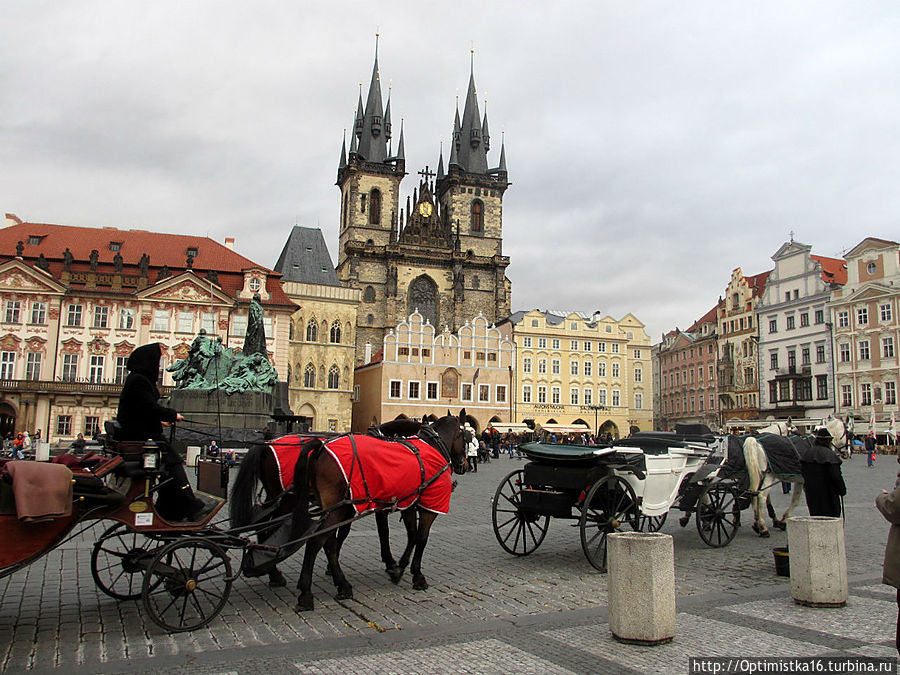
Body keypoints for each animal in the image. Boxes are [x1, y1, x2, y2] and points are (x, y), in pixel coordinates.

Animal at [290, 412, 472, 612]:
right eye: (466, 437)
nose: (464, 466)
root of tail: (320, 448)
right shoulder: (428, 507)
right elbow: (420, 538)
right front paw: (416, 575)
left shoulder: (407, 504)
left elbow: (409, 535)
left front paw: (398, 568)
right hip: (338, 508)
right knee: (316, 542)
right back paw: (306, 594)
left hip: (334, 508)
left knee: (328, 542)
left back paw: (342, 584)